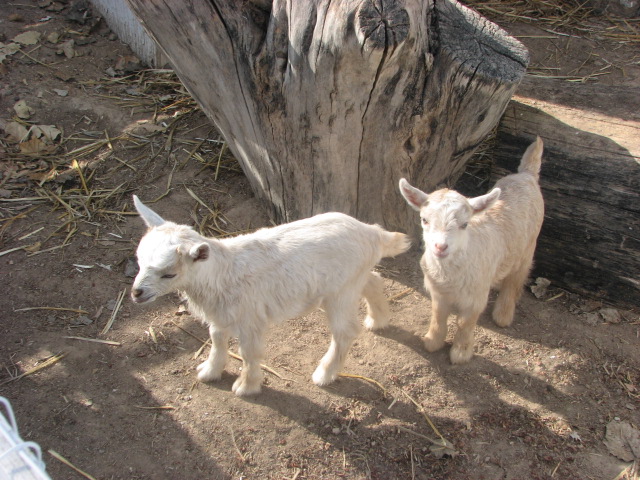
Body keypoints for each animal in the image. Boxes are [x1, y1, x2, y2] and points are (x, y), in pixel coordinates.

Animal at [130, 197, 410, 396]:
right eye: (139, 260)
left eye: (169, 273)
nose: (136, 293)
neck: (221, 273)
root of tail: (372, 232)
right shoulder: (221, 316)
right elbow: (217, 340)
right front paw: (209, 371)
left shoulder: (250, 320)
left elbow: (248, 353)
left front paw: (246, 386)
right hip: (353, 279)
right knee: (374, 281)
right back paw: (378, 320)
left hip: (340, 292)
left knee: (345, 332)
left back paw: (324, 373)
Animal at [400, 138, 544, 364]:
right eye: (424, 219)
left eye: (465, 224)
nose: (440, 246)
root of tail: (526, 174)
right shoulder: (438, 292)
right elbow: (438, 316)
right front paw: (432, 342)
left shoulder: (476, 296)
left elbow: (465, 323)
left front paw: (460, 353)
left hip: (528, 246)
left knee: (516, 279)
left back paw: (503, 314)